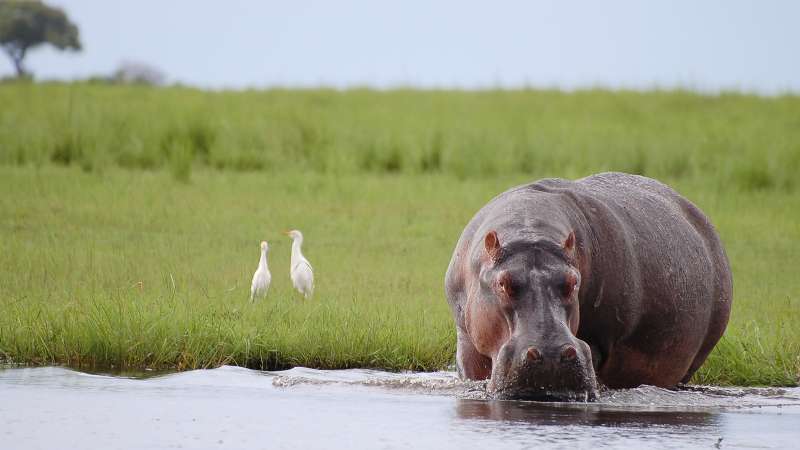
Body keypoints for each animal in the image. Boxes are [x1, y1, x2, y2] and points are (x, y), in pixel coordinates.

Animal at [445, 172, 732, 401]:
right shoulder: (468, 341)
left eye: (573, 282)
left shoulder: (598, 339)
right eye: (503, 283)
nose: (550, 354)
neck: (530, 232)